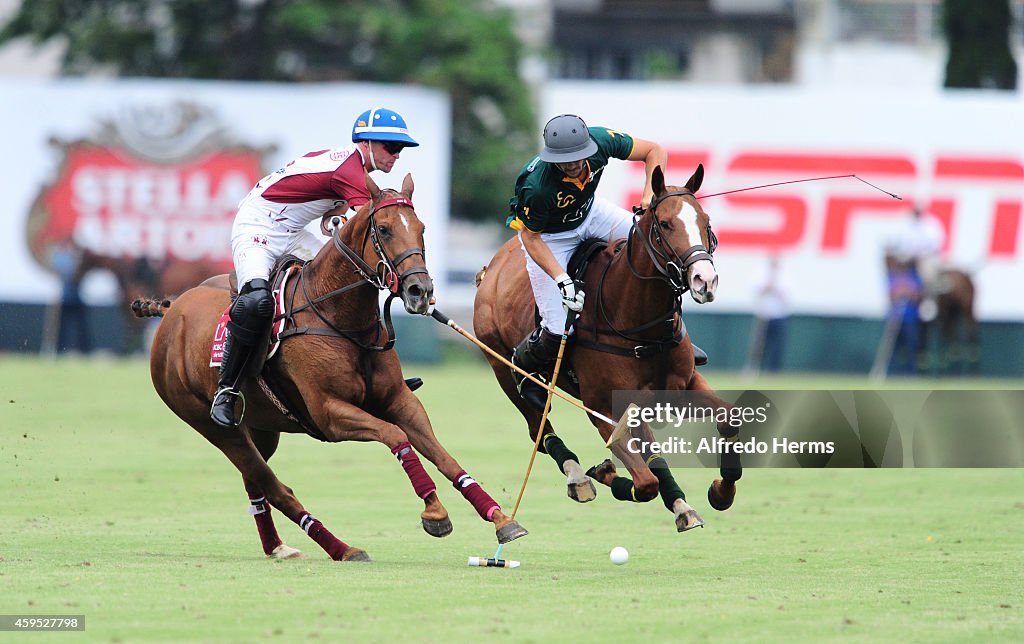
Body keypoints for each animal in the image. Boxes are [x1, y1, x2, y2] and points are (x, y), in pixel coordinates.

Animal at [131, 173, 524, 561]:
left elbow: (444, 455)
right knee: (274, 486)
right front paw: (435, 513)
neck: (340, 317)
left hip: (261, 426)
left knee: (254, 481)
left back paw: (278, 547)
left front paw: (502, 519)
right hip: (214, 427)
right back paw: (341, 547)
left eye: (422, 228)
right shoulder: (330, 414)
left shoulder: (400, 400)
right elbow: (395, 436)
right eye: (384, 229)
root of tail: (172, 310)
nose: (420, 291)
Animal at [473, 164, 745, 532]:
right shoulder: (601, 406)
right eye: (664, 225)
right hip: (501, 366)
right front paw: (604, 473)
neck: (641, 325)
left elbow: (729, 419)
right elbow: (644, 484)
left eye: (706, 221)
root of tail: (492, 266)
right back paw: (578, 476)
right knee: (537, 428)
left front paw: (720, 491)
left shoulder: (682, 386)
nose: (705, 280)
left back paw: (680, 505)